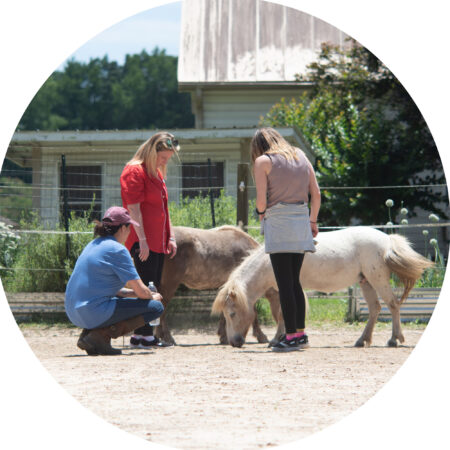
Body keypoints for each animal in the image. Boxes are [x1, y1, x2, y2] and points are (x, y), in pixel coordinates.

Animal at [213, 229, 434, 348]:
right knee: (375, 309)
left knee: (393, 305)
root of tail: (387, 240)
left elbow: (283, 314)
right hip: (366, 282)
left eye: (232, 313)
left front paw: (277, 340)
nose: (234, 342)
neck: (268, 261)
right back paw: (362, 340)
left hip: (377, 279)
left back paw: (394, 339)